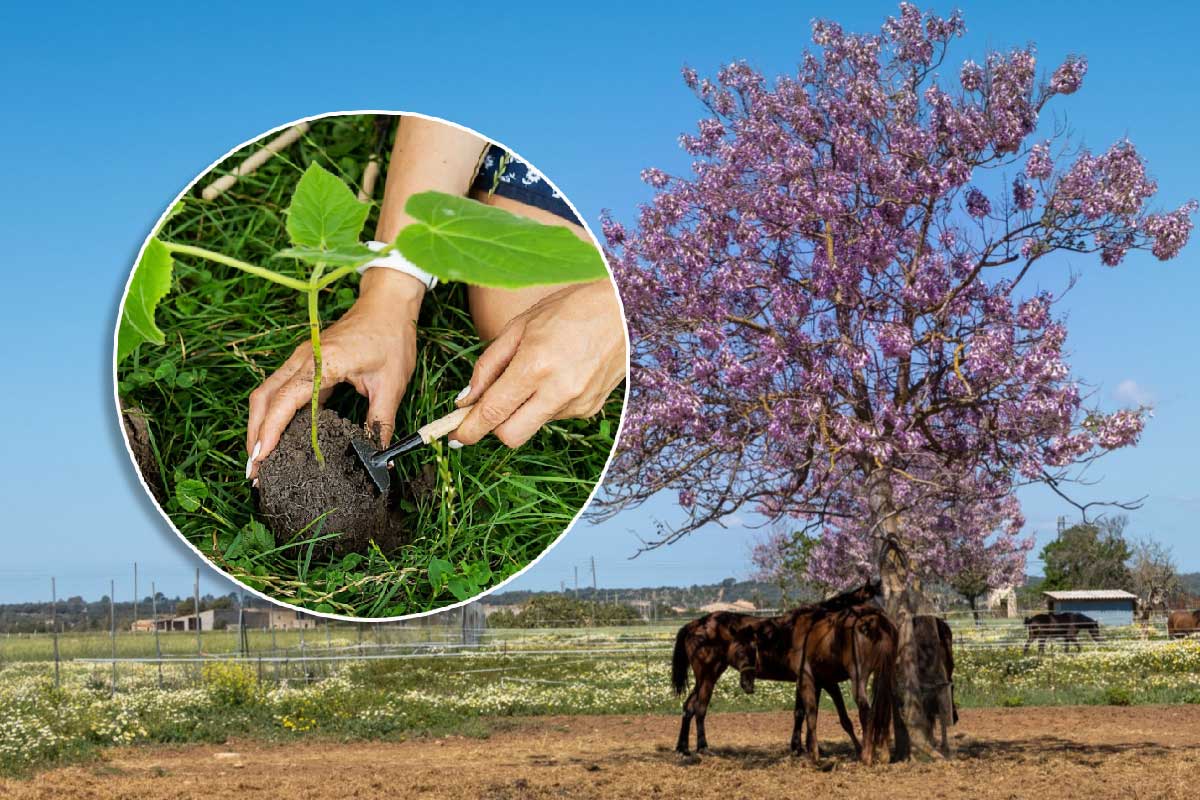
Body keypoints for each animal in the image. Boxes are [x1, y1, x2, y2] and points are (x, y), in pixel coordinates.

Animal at [667, 578, 883, 753]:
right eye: (871, 606)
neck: (819, 629)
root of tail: (695, 624)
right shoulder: (824, 682)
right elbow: (826, 715)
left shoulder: (813, 682)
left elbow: (803, 713)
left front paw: (802, 747)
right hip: (708, 675)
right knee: (700, 708)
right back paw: (702, 747)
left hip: (707, 676)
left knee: (689, 706)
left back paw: (683, 748)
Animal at [792, 604, 897, 767]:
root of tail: (874, 621)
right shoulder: (824, 683)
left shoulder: (810, 680)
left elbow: (808, 713)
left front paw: (812, 753)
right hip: (886, 674)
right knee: (885, 709)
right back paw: (884, 755)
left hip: (859, 678)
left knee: (866, 710)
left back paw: (867, 755)